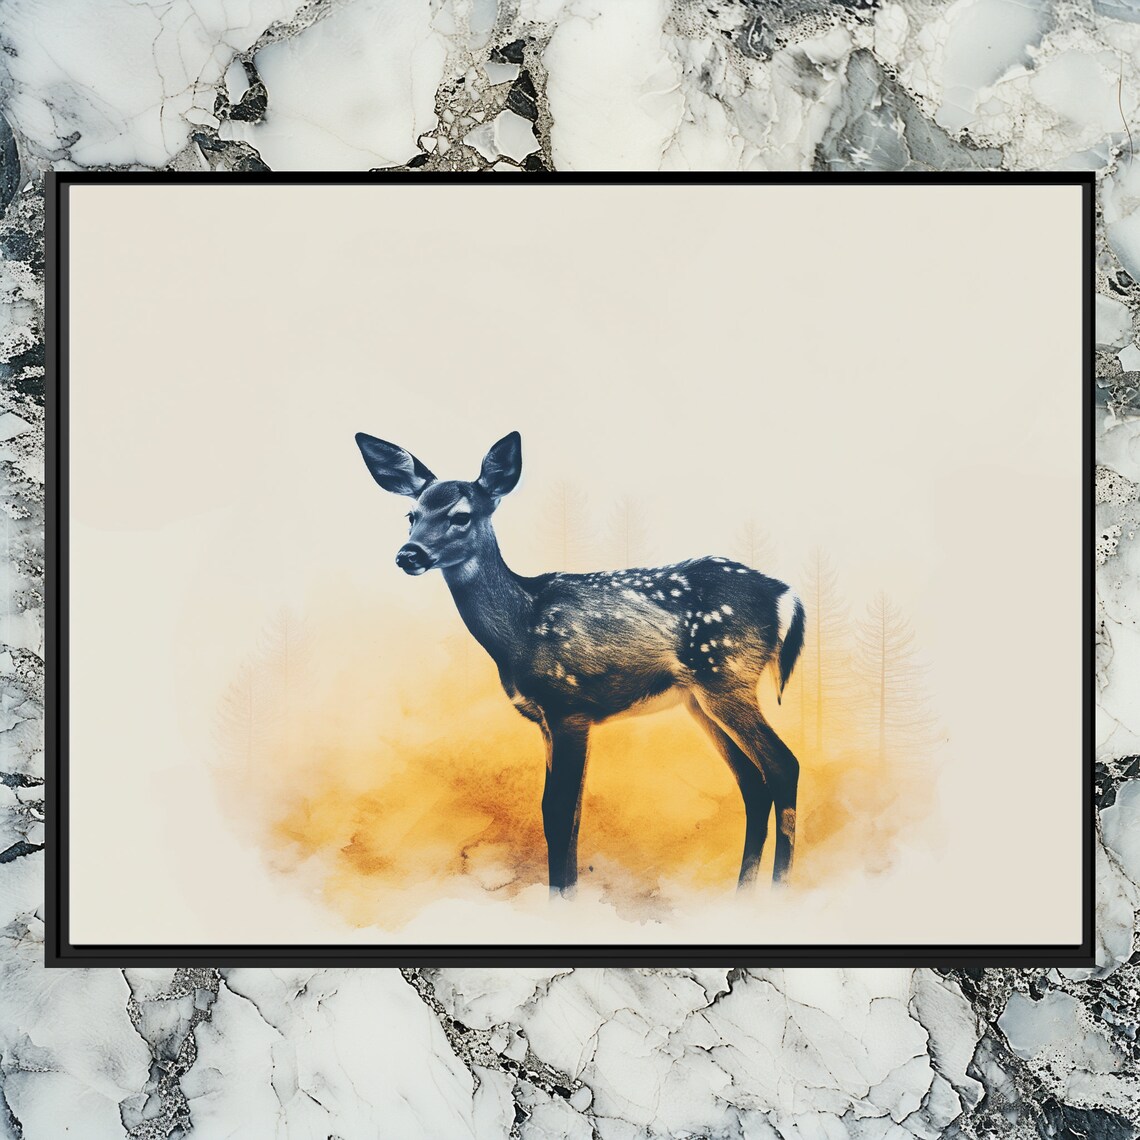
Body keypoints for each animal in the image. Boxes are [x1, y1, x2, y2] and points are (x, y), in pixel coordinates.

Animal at [354, 430, 806, 897]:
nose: (408, 554)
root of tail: (785, 596)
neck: (520, 629)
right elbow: (559, 814)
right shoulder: (545, 719)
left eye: (460, 515)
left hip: (725, 676)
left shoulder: (568, 704)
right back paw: (742, 893)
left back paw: (778, 889)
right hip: (699, 699)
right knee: (753, 783)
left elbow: (559, 812)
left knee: (783, 764)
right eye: (411, 514)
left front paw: (563, 898)